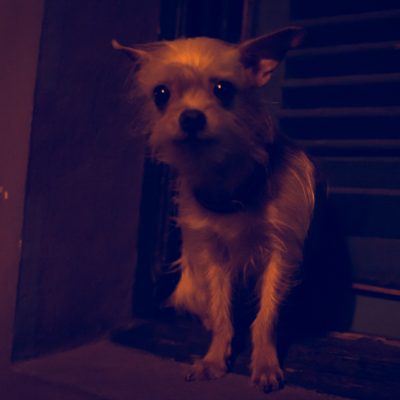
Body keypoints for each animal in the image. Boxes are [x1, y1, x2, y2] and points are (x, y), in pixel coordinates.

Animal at [112, 28, 316, 394]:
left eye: (223, 89)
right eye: (161, 94)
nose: (191, 117)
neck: (229, 180)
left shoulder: (280, 255)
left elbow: (266, 317)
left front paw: (265, 363)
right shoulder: (213, 256)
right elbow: (222, 314)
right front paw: (214, 359)